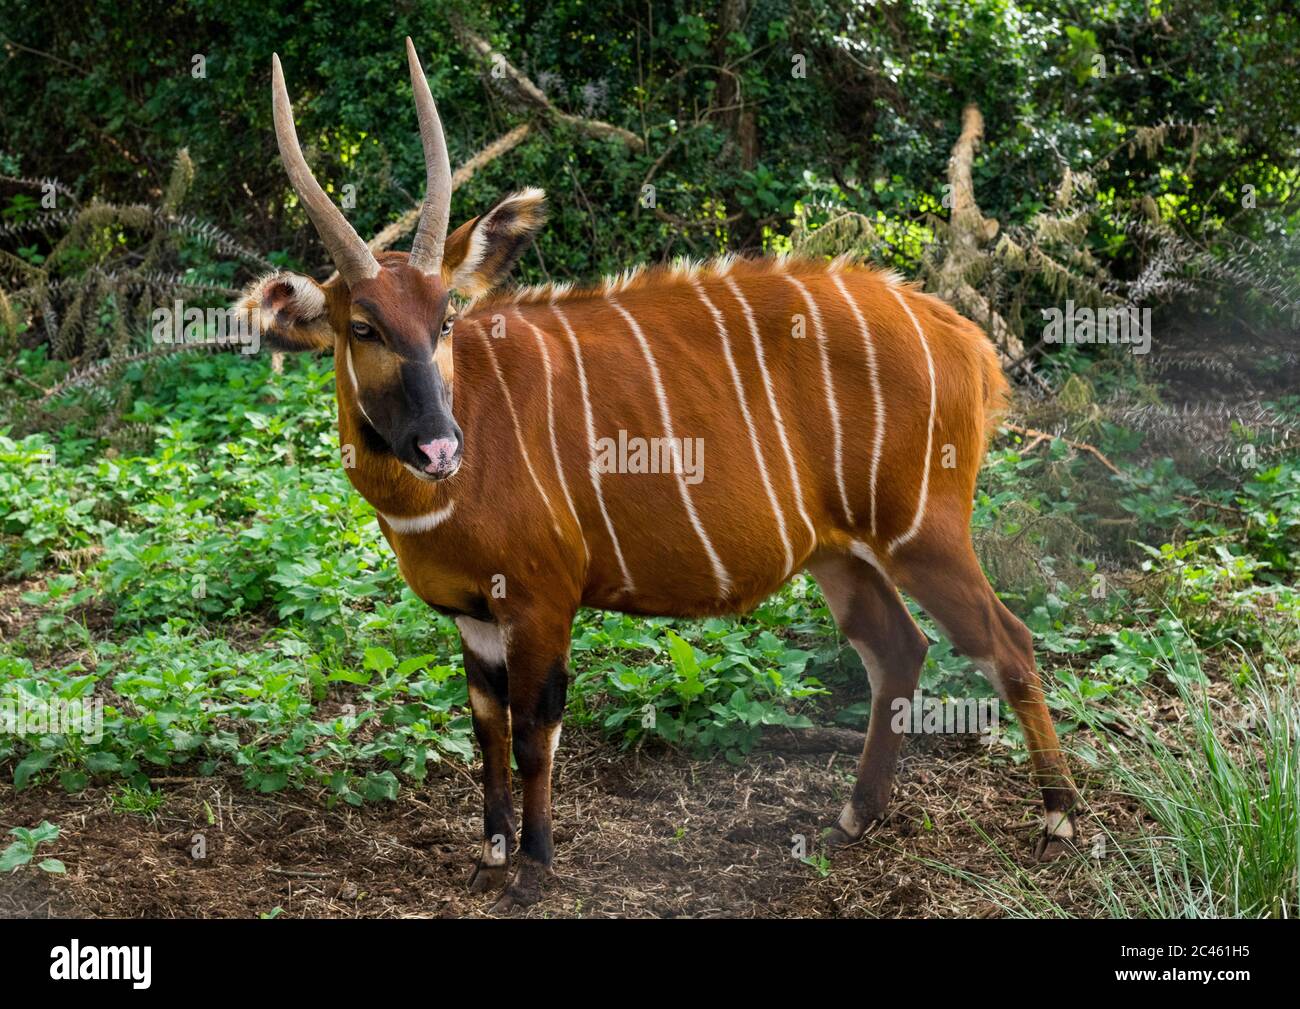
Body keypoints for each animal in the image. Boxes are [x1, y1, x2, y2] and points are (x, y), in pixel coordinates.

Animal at [241, 39, 1076, 910]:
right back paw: (853, 818)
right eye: (363, 326)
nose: (439, 447)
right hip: (841, 552)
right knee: (898, 649)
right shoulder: (475, 614)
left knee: (1008, 641)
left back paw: (1058, 818)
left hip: (923, 532)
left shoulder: (542, 597)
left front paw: (532, 865)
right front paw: (490, 853)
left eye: (444, 318)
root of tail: (969, 341)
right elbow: (486, 726)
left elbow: (535, 727)